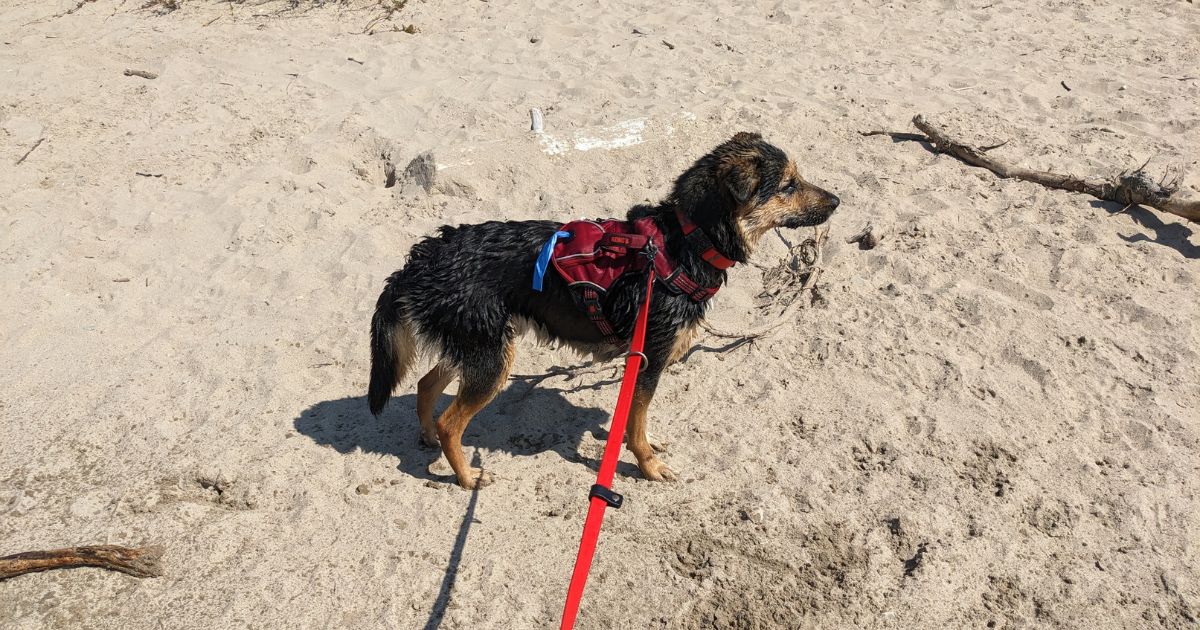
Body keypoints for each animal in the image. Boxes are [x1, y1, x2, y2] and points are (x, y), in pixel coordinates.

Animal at [369, 131, 840, 487]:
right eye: (788, 185)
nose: (837, 201)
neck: (684, 243)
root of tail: (420, 261)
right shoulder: (649, 359)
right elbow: (636, 421)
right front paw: (648, 465)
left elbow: (631, 419)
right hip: (490, 357)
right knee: (451, 421)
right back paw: (466, 477)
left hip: (475, 345)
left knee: (426, 386)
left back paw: (428, 439)